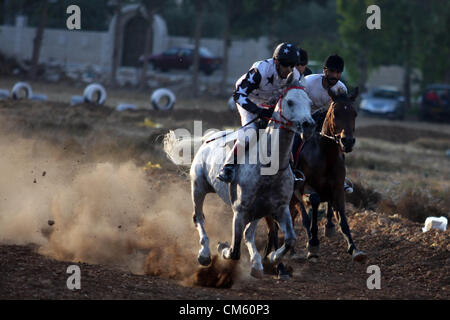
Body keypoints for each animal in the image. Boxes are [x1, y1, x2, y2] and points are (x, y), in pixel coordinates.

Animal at [163, 77, 314, 278]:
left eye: (310, 103)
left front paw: (272, 257)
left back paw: (256, 263)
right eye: (290, 102)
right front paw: (222, 247)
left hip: (258, 210)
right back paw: (204, 254)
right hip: (198, 187)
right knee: (199, 217)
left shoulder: (279, 208)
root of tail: (208, 137)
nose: (309, 125)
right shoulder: (240, 211)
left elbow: (290, 239)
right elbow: (234, 251)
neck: (268, 169)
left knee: (249, 233)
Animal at [266, 87, 368, 268]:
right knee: (281, 224)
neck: (325, 155)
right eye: (335, 112)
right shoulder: (303, 188)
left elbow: (342, 218)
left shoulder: (338, 188)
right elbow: (313, 203)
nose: (347, 141)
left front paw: (354, 249)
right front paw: (313, 244)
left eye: (355, 113)